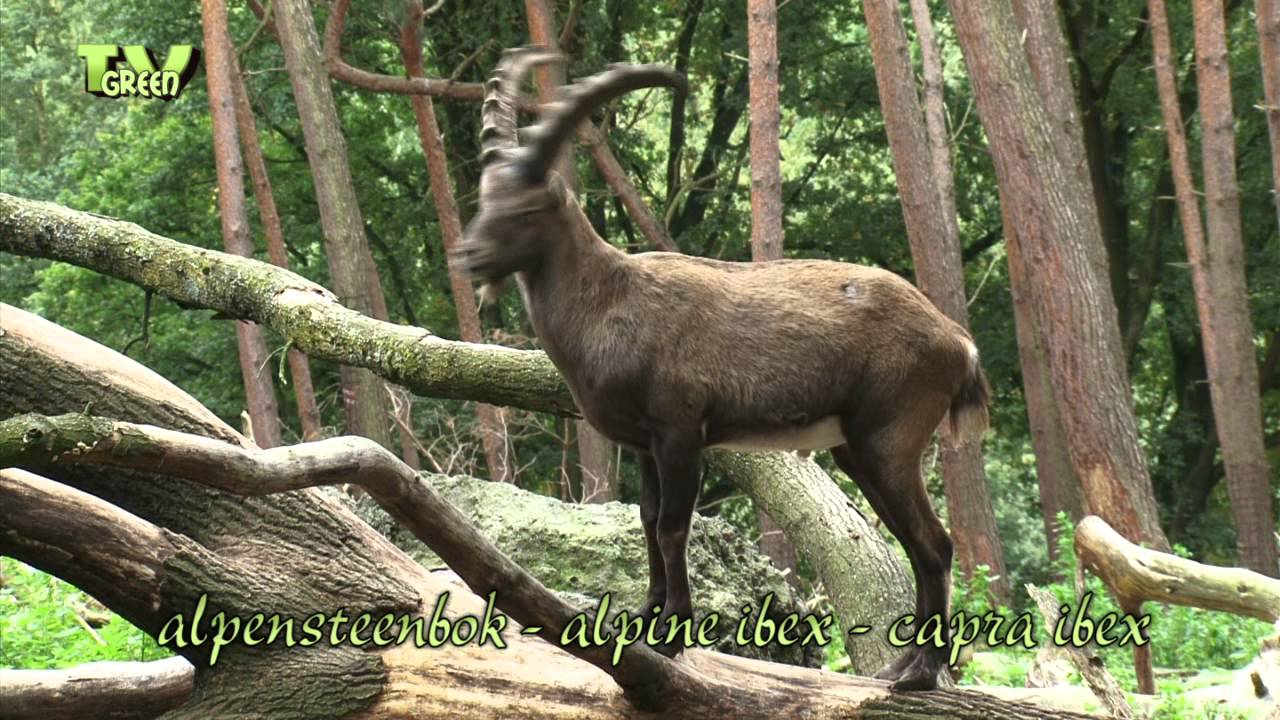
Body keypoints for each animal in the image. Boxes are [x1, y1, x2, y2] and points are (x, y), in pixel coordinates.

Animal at [457, 48, 991, 692]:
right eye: (484, 195)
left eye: (529, 204)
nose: (468, 255)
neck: (609, 300)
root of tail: (958, 343)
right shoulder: (644, 445)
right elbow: (646, 520)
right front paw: (645, 621)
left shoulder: (680, 430)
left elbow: (672, 527)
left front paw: (673, 635)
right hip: (857, 449)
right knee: (918, 544)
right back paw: (901, 665)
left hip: (890, 436)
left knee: (935, 544)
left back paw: (919, 673)